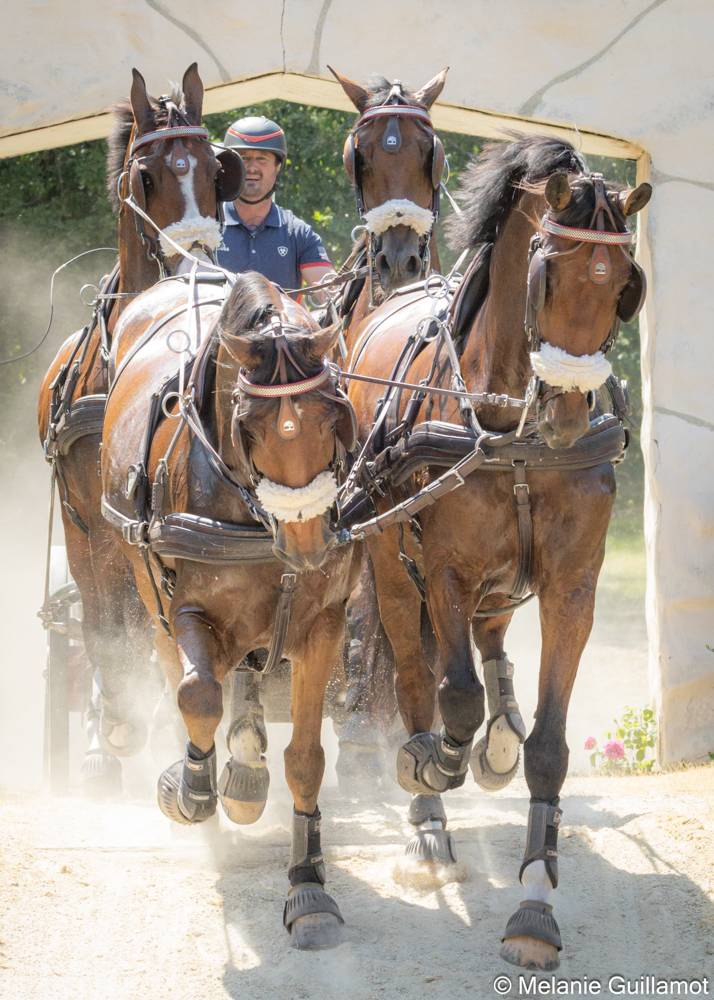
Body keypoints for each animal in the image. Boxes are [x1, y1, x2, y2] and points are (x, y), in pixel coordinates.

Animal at [37, 64, 244, 792]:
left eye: (215, 170)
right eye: (147, 174)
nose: (198, 267)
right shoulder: (88, 523)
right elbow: (103, 625)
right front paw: (113, 729)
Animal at [100, 269, 360, 948]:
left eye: (335, 412)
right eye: (250, 424)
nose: (308, 543)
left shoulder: (323, 624)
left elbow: (306, 759)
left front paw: (308, 886)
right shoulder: (189, 610)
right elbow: (197, 698)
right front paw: (190, 792)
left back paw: (243, 776)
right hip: (150, 593)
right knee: (187, 681)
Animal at [344, 134, 650, 968]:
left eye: (625, 288)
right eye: (548, 276)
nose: (569, 415)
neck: (514, 433)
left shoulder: (573, 587)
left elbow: (548, 746)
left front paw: (535, 906)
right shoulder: (444, 572)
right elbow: (451, 698)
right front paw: (432, 764)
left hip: (504, 585)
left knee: (493, 647)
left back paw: (499, 734)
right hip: (390, 563)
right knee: (415, 676)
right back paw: (426, 821)